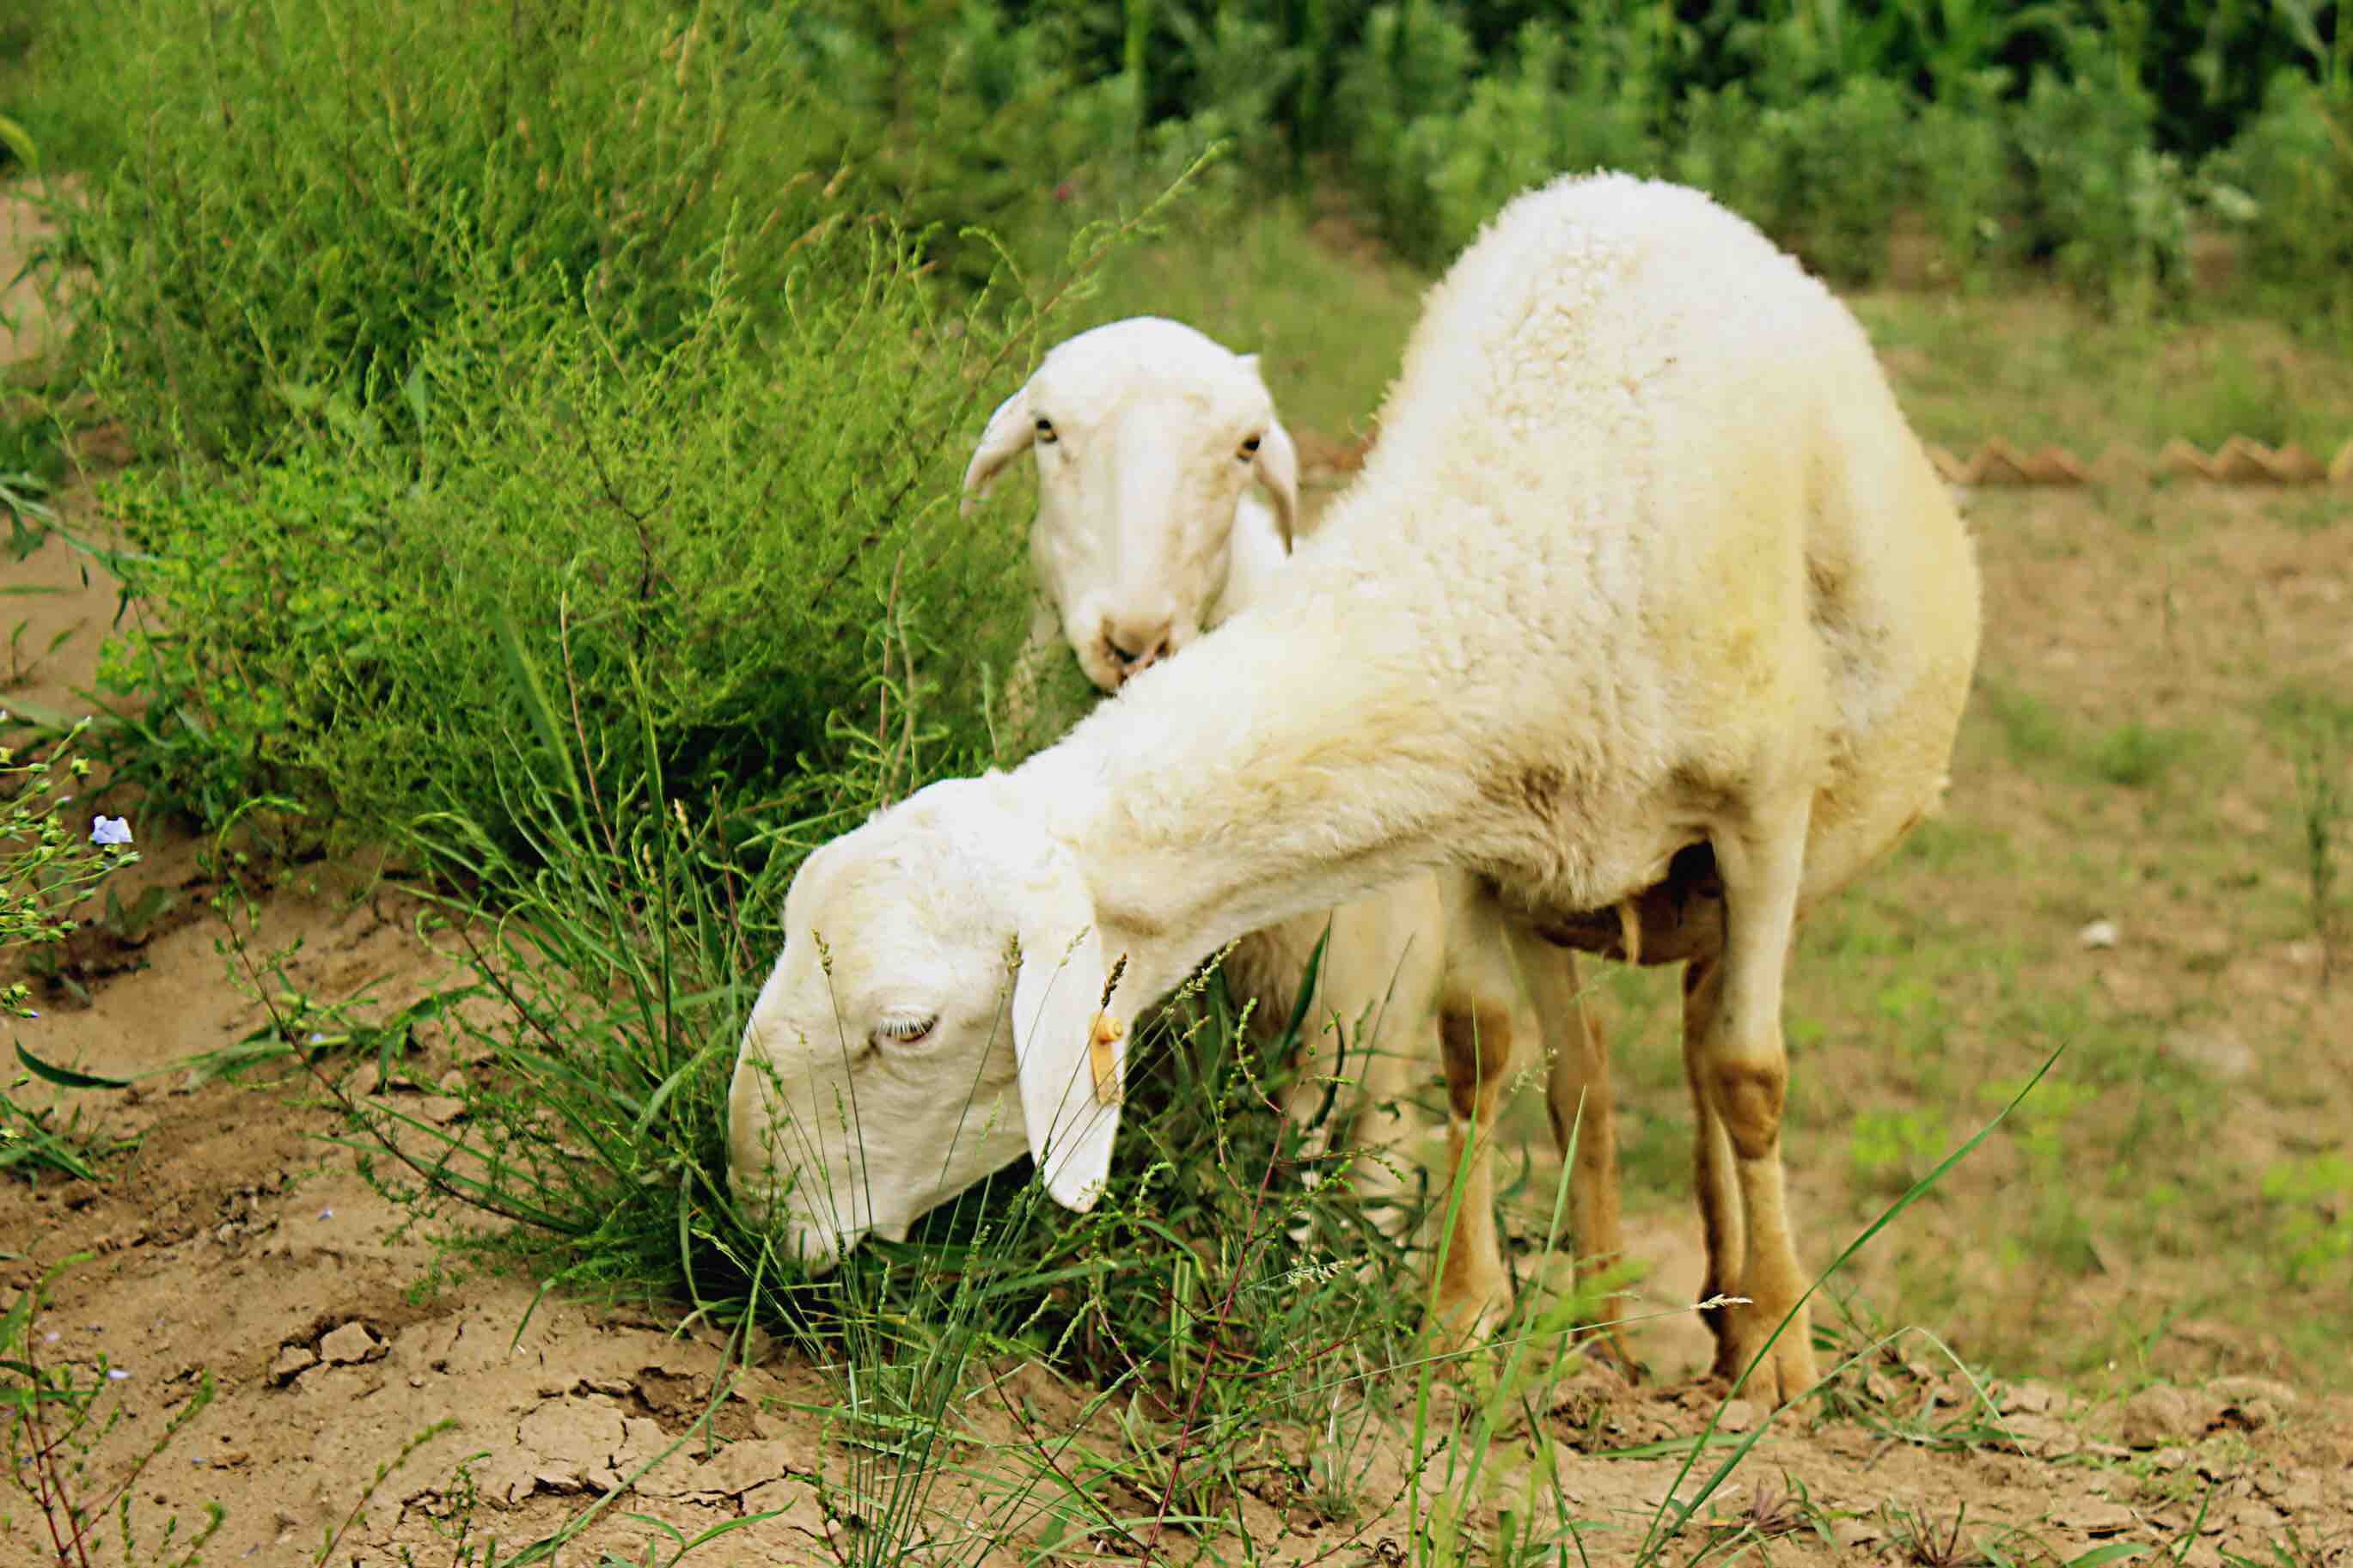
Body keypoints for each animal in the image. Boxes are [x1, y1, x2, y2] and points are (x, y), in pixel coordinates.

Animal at [950, 320, 1618, 1326]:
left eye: (1248, 445)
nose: (1132, 638)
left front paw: (1280, 1285)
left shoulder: (1325, 1027)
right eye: (1046, 429)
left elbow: (1293, 1189)